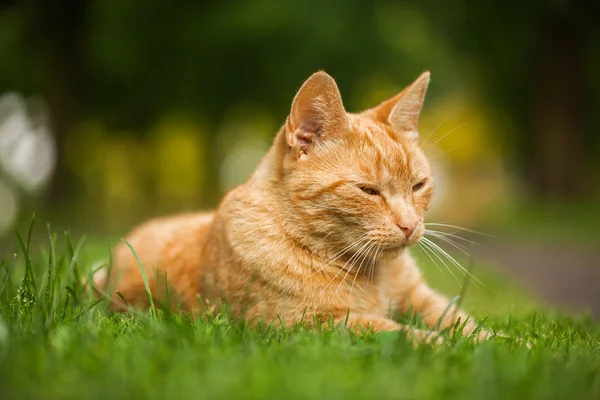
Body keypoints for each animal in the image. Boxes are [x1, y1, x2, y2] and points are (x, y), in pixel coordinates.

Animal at [94, 70, 488, 342]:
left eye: (418, 185)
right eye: (368, 190)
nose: (410, 225)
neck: (373, 275)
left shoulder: (424, 300)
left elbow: (465, 325)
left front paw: (497, 342)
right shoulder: (310, 325)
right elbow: (404, 334)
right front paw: (448, 347)